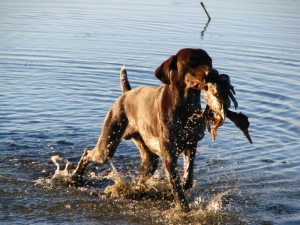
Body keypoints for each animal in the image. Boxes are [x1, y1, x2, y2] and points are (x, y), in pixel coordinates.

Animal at [72, 48, 218, 212]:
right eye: (191, 62)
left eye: (209, 61)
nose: (213, 73)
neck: (186, 107)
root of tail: (126, 94)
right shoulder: (169, 157)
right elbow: (178, 189)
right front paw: (184, 210)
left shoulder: (191, 145)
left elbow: (187, 180)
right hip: (107, 146)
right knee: (87, 153)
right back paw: (75, 177)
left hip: (149, 157)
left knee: (143, 174)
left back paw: (135, 189)